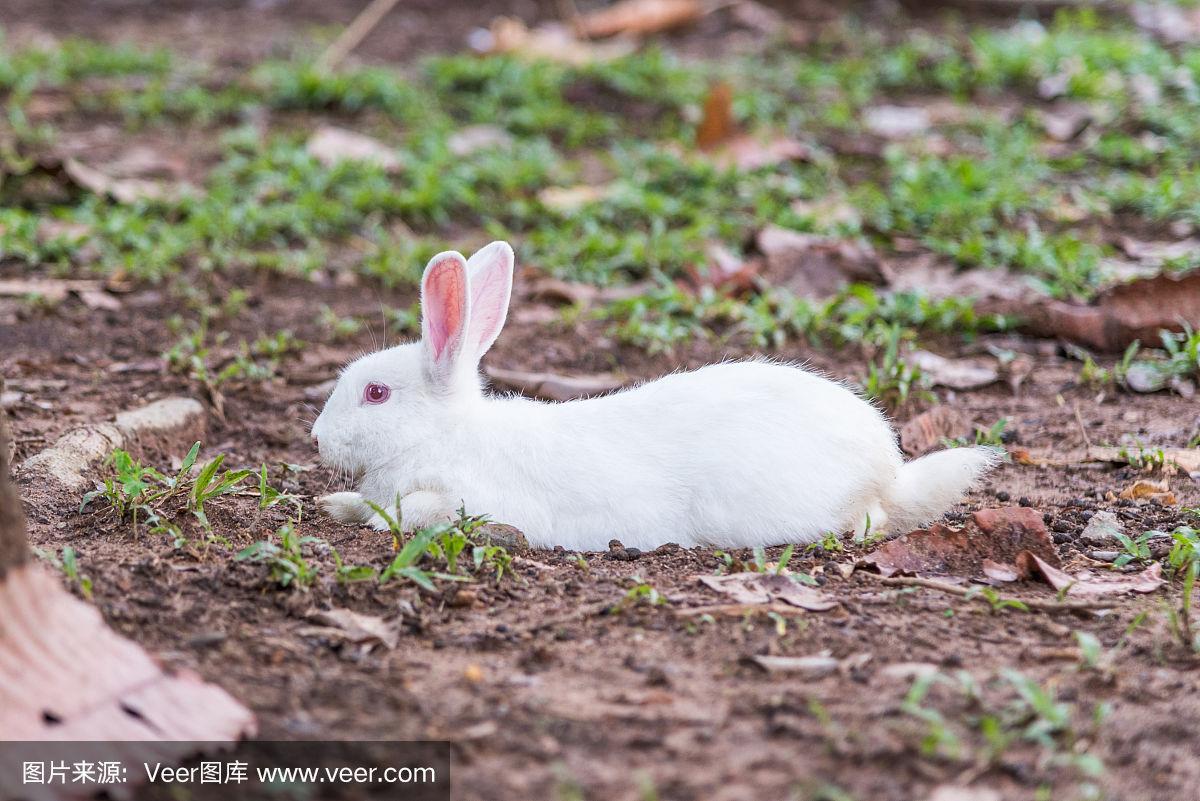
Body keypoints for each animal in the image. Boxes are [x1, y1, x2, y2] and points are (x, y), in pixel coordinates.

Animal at [307, 242, 993, 551]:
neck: (447, 435)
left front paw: (371, 517)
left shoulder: (474, 501)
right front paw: (333, 503)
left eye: (375, 394)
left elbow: (419, 512)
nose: (315, 439)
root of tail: (887, 470)